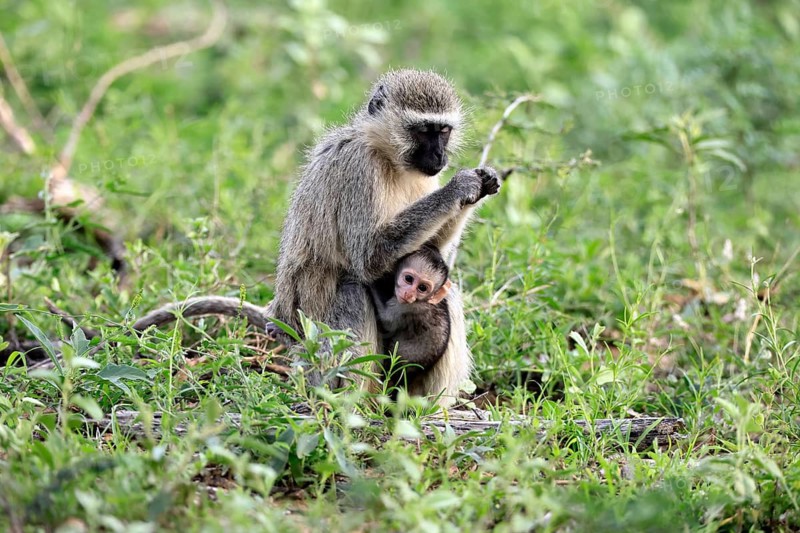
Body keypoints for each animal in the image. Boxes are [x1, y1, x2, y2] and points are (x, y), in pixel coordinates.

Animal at [370, 245, 452, 390]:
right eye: (409, 279)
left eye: (422, 288)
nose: (408, 294)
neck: (425, 301)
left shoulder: (408, 307)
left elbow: (387, 321)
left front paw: (372, 283)